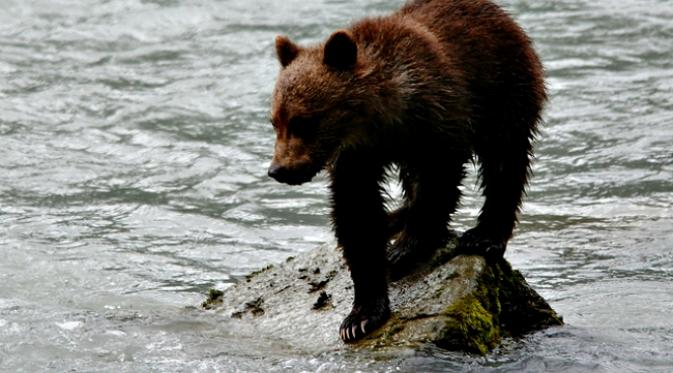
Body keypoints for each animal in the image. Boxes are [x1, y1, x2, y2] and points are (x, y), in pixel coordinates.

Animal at [266, 0, 544, 342]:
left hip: (504, 88)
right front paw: (360, 316)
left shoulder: (437, 120)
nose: (279, 169)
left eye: (303, 121)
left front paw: (406, 248)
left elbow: (439, 180)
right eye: (275, 121)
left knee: (505, 161)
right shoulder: (356, 158)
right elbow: (357, 215)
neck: (384, 116)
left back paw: (485, 235)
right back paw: (395, 219)